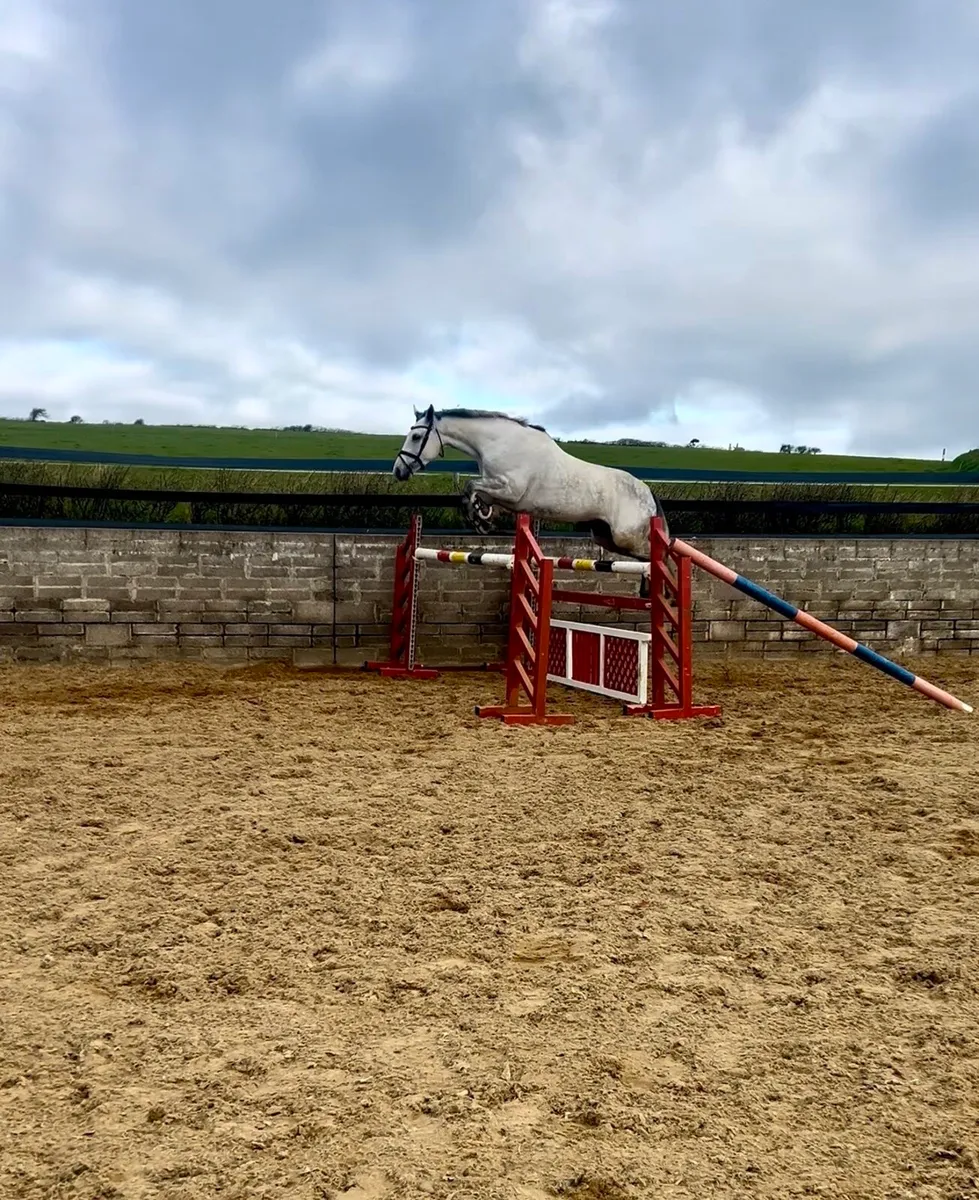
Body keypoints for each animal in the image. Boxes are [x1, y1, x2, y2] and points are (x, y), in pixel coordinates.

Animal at [392, 406, 669, 589]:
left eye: (416, 436)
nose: (398, 471)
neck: (499, 442)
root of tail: (647, 492)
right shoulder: (498, 492)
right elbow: (474, 494)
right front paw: (482, 518)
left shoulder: (510, 491)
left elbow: (471, 486)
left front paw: (480, 520)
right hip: (605, 537)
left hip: (626, 537)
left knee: (661, 555)